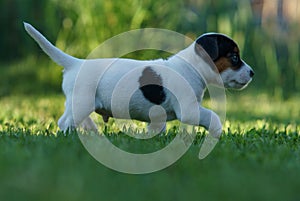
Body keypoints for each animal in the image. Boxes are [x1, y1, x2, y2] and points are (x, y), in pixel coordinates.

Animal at [24, 22, 253, 138]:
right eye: (234, 57)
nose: (252, 73)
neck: (191, 67)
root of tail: (76, 64)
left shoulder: (160, 116)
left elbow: (157, 128)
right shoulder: (189, 110)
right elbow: (212, 116)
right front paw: (217, 133)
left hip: (78, 103)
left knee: (75, 119)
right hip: (82, 102)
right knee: (65, 122)